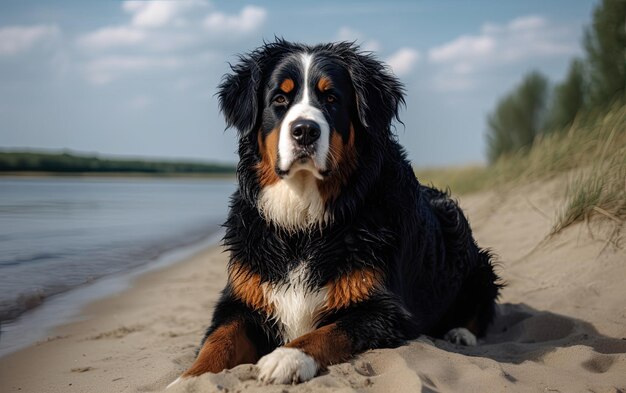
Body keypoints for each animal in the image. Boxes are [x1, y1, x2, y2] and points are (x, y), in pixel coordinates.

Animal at [168, 39, 500, 386]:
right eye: (279, 99)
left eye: (331, 99)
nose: (304, 131)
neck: (303, 219)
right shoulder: (243, 298)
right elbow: (218, 341)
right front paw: (187, 380)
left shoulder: (384, 310)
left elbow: (327, 332)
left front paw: (287, 357)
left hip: (475, 259)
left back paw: (461, 333)